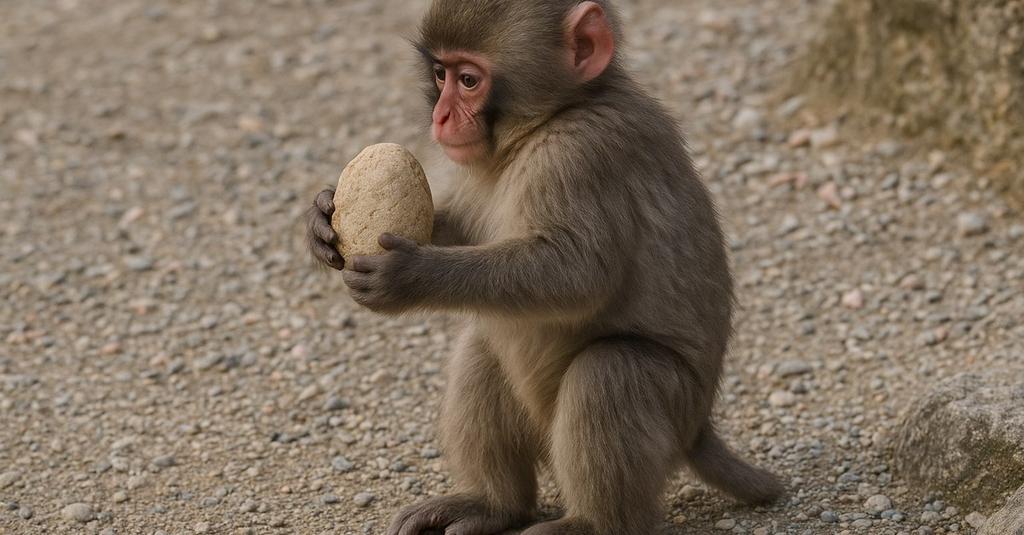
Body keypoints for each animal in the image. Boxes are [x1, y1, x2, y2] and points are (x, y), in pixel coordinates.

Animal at [306, 1, 784, 533]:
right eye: (440, 73)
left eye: (468, 80)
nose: (440, 115)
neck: (548, 121)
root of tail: (699, 427)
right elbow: (462, 228)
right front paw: (321, 220)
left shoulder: (581, 154)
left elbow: (577, 275)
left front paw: (408, 275)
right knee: (483, 348)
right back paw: (493, 504)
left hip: (675, 403)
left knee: (610, 372)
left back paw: (592, 523)